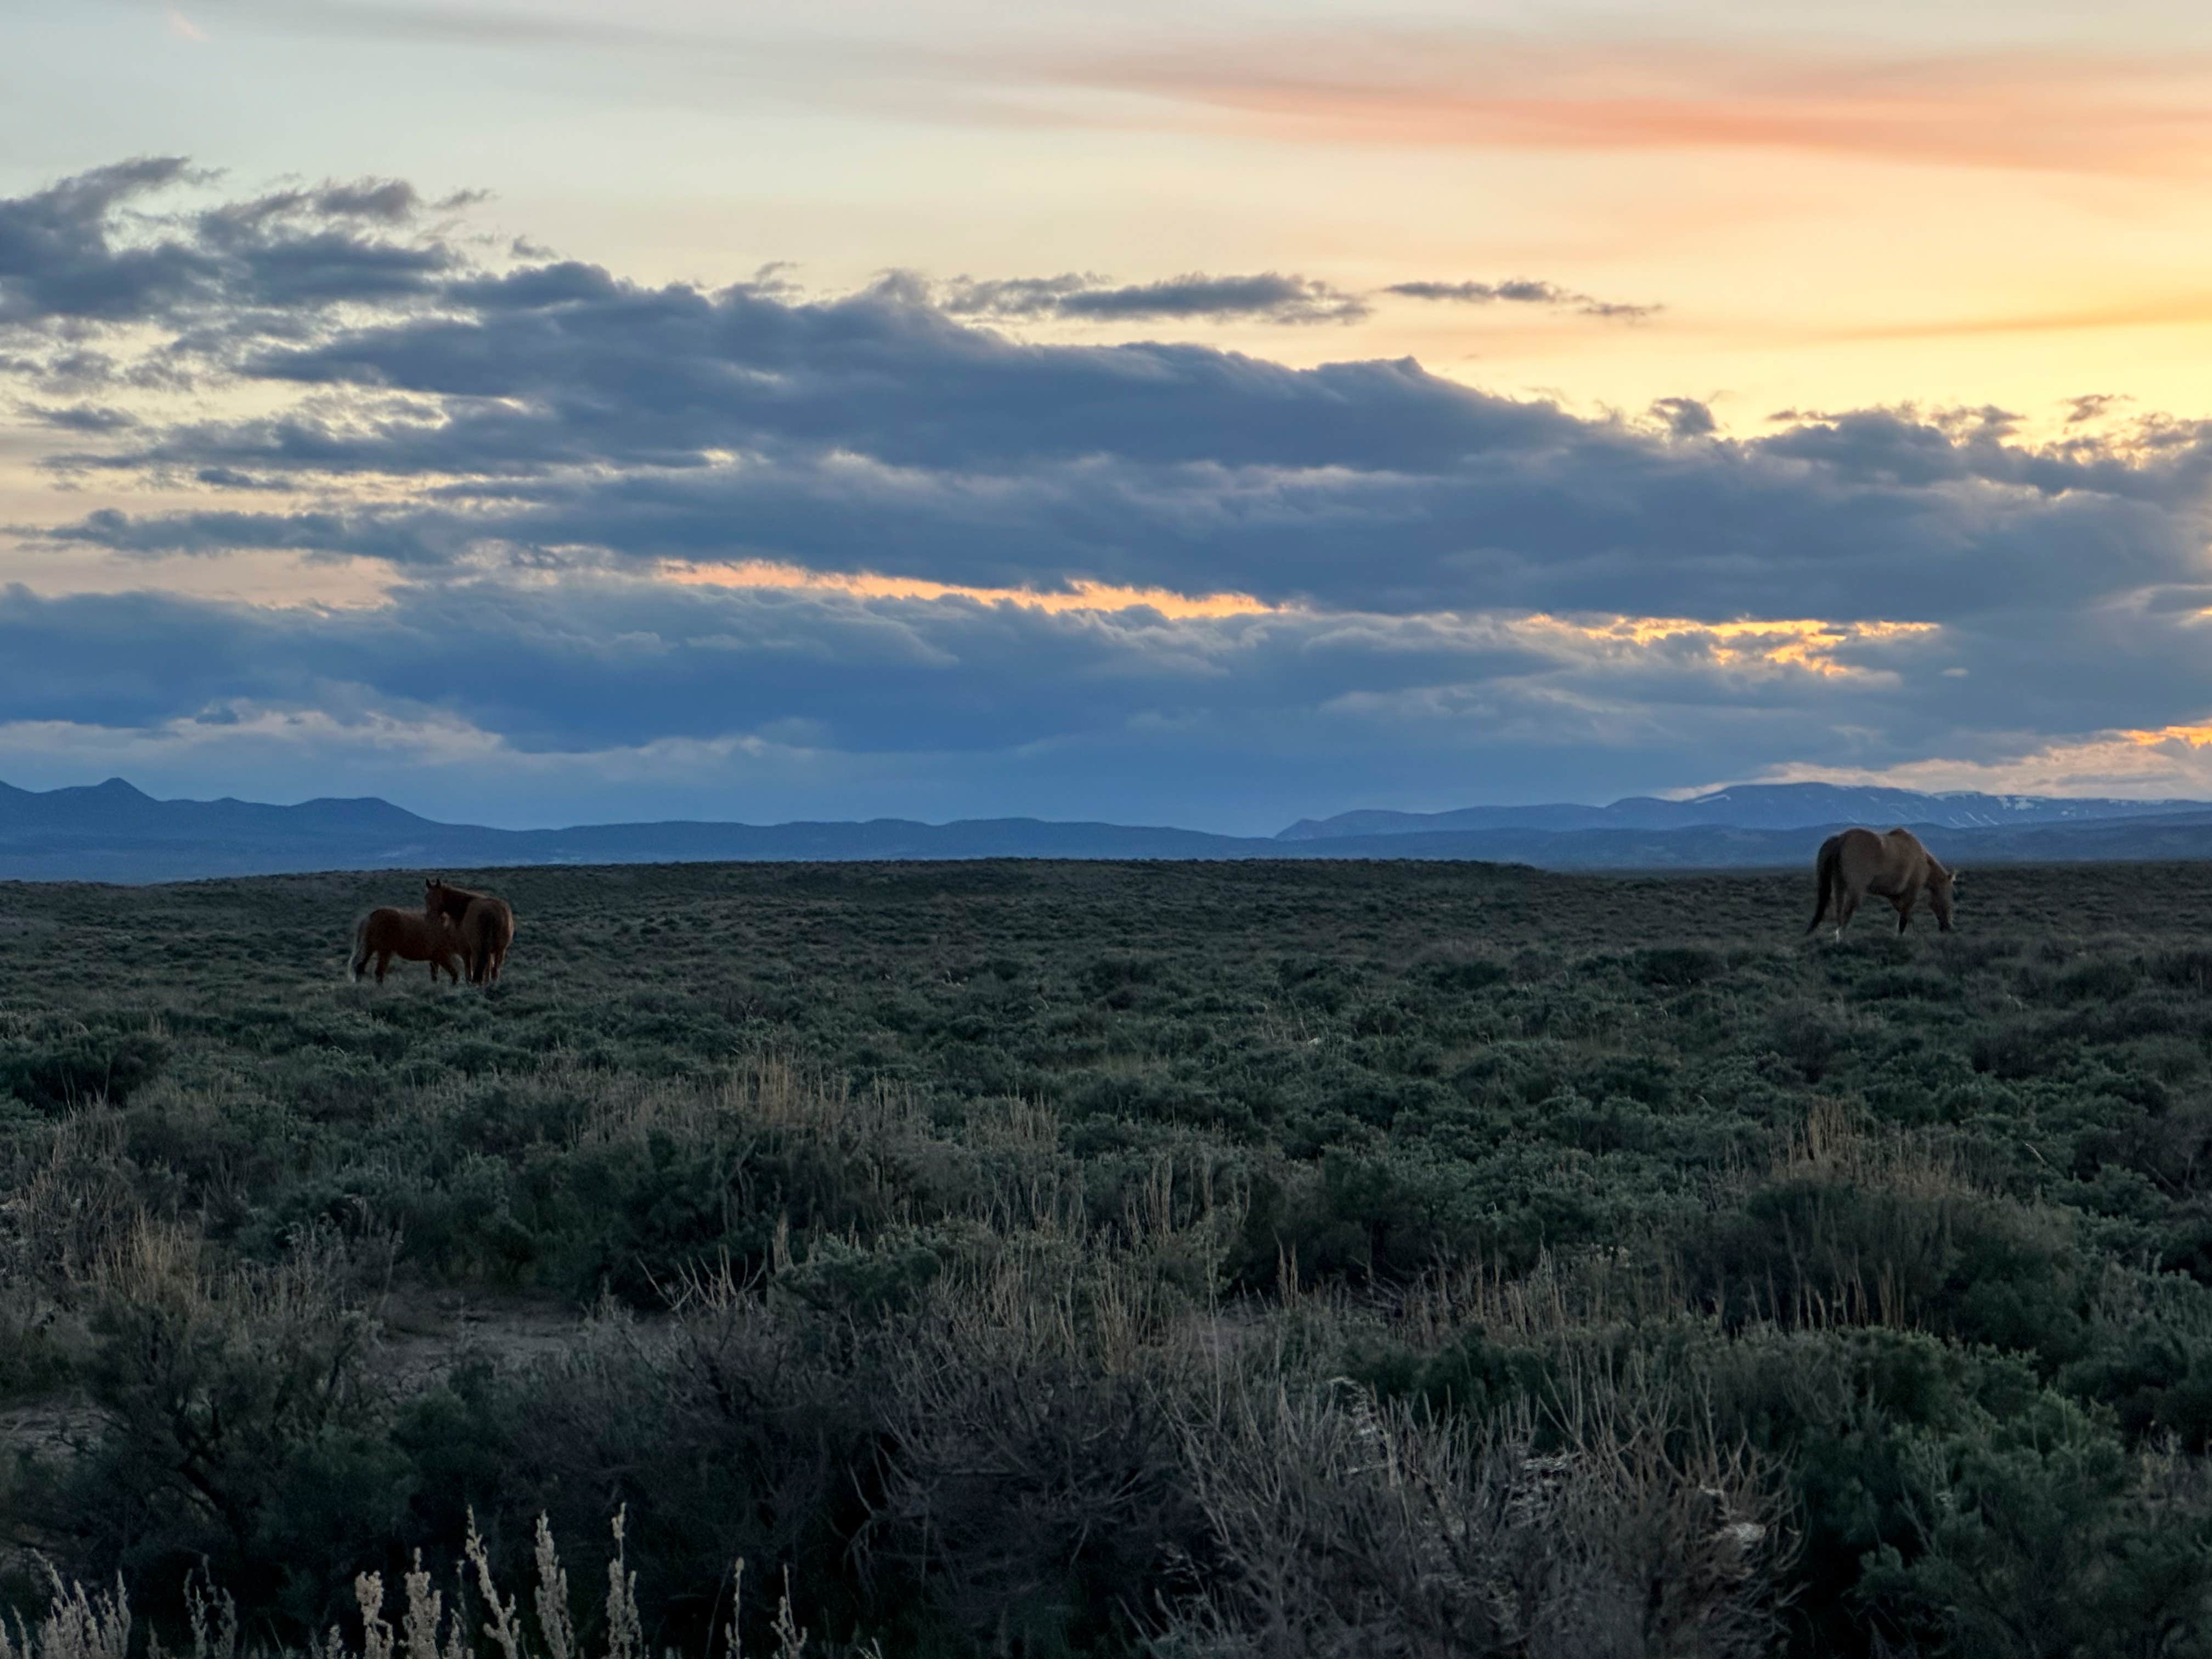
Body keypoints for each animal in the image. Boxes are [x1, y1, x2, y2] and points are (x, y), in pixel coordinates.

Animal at [349, 911, 466, 986]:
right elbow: (454, 974)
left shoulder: (435, 959)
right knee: (378, 972)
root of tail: (370, 916)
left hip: (371, 949)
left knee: (360, 967)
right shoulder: (442, 957)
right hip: (385, 951)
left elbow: (435, 976)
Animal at [420, 884, 515, 986]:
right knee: (495, 971)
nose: (430, 919)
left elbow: (469, 971)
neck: (463, 910)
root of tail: (492, 913)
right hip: (500, 950)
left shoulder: (465, 951)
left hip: (478, 950)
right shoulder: (490, 952)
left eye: (438, 898)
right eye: (426, 898)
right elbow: (488, 969)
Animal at [1805, 827, 1964, 942]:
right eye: (1951, 897)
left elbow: (1903, 913)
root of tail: (1841, 839)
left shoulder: (1893, 895)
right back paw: (1843, 938)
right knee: (1847, 912)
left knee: (1839, 911)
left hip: (1839, 884)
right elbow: (1905, 915)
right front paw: (1902, 936)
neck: (1924, 861)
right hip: (1855, 890)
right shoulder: (1911, 892)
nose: (1948, 927)